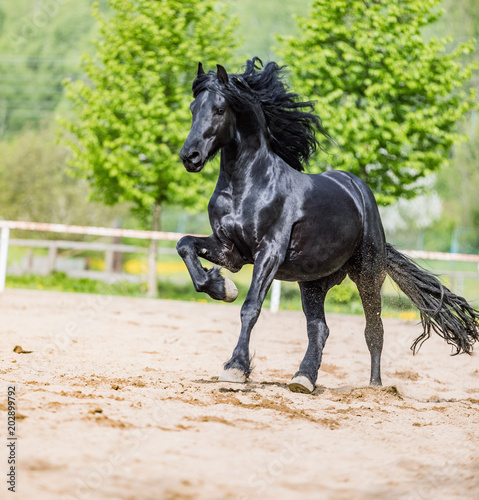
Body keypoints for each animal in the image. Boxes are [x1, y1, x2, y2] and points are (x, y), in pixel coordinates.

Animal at [177, 59, 479, 394]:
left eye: (219, 109)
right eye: (193, 107)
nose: (189, 156)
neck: (246, 185)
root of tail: (358, 189)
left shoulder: (268, 253)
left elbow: (250, 307)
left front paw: (235, 368)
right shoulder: (230, 250)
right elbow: (185, 246)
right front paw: (222, 287)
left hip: (368, 275)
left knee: (374, 329)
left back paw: (374, 387)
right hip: (311, 283)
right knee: (319, 328)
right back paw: (303, 379)